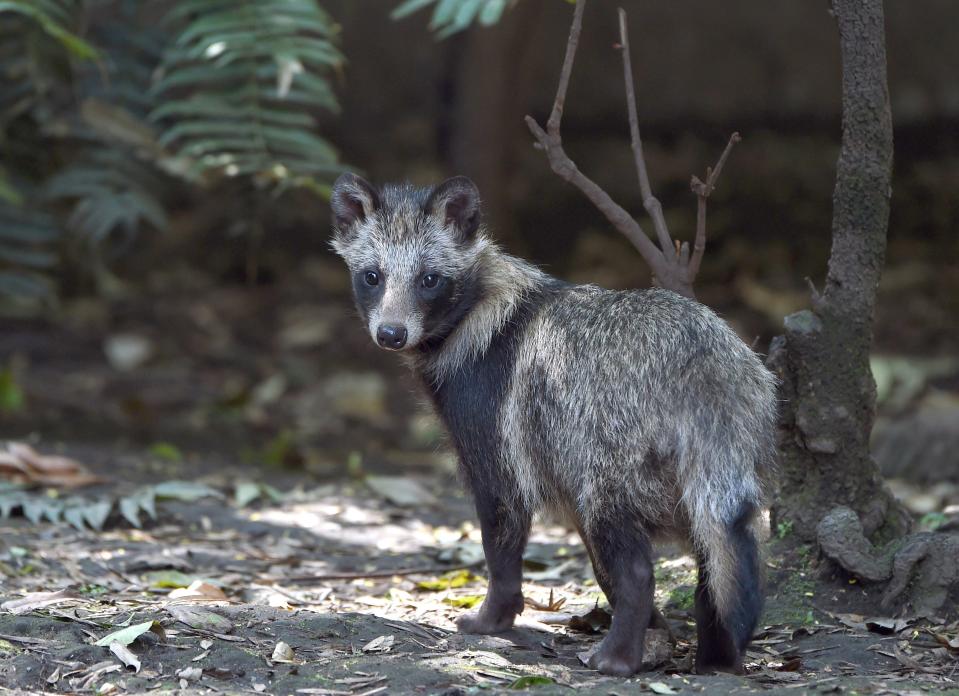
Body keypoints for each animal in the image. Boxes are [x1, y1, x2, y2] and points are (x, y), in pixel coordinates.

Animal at [330, 173, 780, 676]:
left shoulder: (494, 427)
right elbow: (601, 565)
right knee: (723, 553)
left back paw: (621, 654)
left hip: (612, 455)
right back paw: (718, 652)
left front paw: (495, 615)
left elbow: (502, 531)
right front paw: (655, 627)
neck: (478, 307)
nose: (390, 334)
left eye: (429, 280)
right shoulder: (554, 453)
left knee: (634, 558)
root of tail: (705, 369)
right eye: (373, 276)